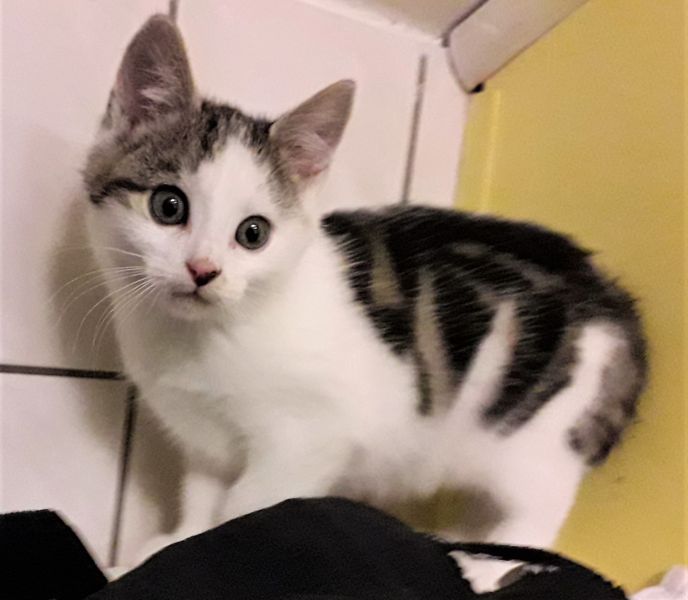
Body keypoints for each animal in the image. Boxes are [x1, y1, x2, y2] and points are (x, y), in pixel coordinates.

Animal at [83, 14, 646, 591]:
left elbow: (246, 505)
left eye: (253, 233)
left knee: (539, 510)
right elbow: (202, 495)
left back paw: (487, 565)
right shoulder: (203, 438)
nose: (203, 271)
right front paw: (171, 544)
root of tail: (611, 297)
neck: (201, 337)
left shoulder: (310, 435)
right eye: (168, 206)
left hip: (530, 431)